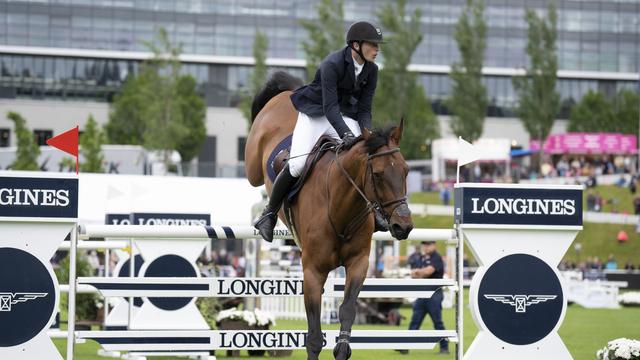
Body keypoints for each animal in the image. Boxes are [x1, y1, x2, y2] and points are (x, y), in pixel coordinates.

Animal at [245, 71, 416, 358]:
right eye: (378, 174)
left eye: (405, 171)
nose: (403, 226)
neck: (341, 210)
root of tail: (287, 93)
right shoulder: (312, 271)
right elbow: (314, 337)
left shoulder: (358, 263)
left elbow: (347, 310)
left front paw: (342, 347)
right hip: (253, 167)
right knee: (257, 174)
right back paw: (265, 219)